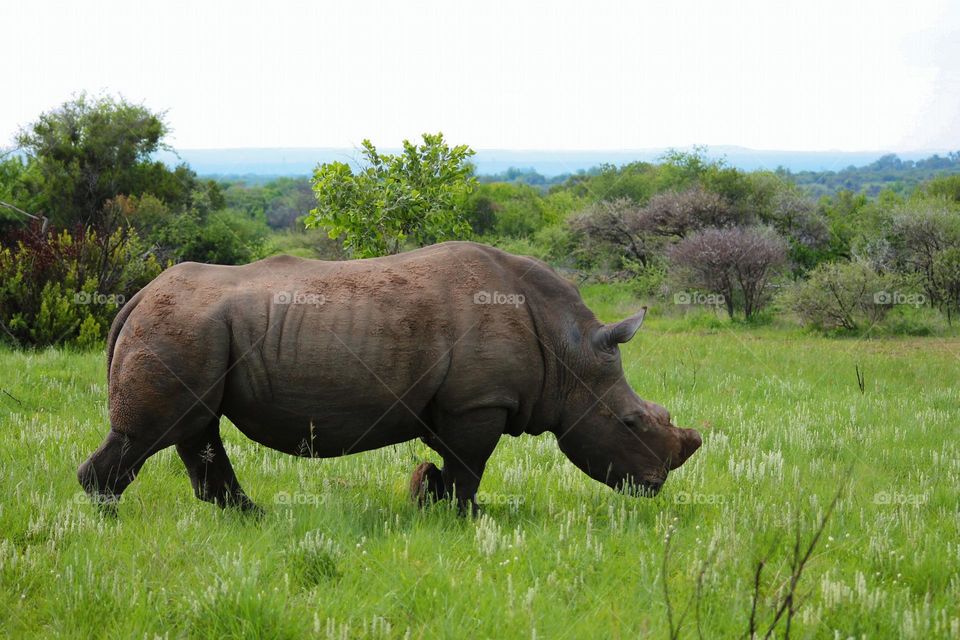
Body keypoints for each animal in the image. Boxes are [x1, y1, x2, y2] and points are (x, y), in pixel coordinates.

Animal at [79, 241, 700, 516]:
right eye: (631, 422)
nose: (655, 486)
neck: (569, 350)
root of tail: (136, 298)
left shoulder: (457, 403)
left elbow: (453, 462)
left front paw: (431, 500)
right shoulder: (479, 402)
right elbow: (470, 466)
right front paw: (466, 517)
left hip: (193, 329)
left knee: (196, 427)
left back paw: (248, 516)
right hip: (181, 326)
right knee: (155, 433)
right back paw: (108, 518)